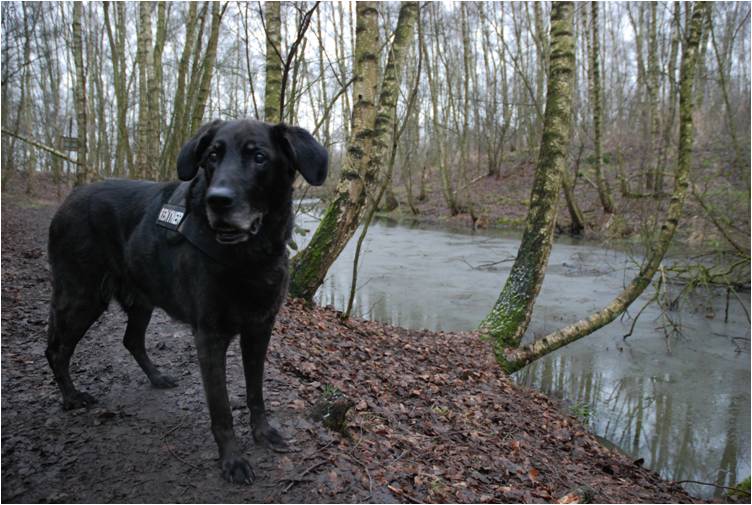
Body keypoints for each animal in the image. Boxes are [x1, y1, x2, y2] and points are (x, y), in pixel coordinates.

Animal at [45, 119, 328, 484]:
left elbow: (255, 391)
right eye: (211, 157)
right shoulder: (210, 336)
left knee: (131, 340)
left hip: (141, 298)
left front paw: (263, 433)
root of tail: (70, 198)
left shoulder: (260, 329)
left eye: (259, 158)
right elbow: (221, 408)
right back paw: (70, 397)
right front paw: (232, 460)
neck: (249, 256)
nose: (217, 201)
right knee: (57, 350)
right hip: (81, 297)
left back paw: (156, 377)